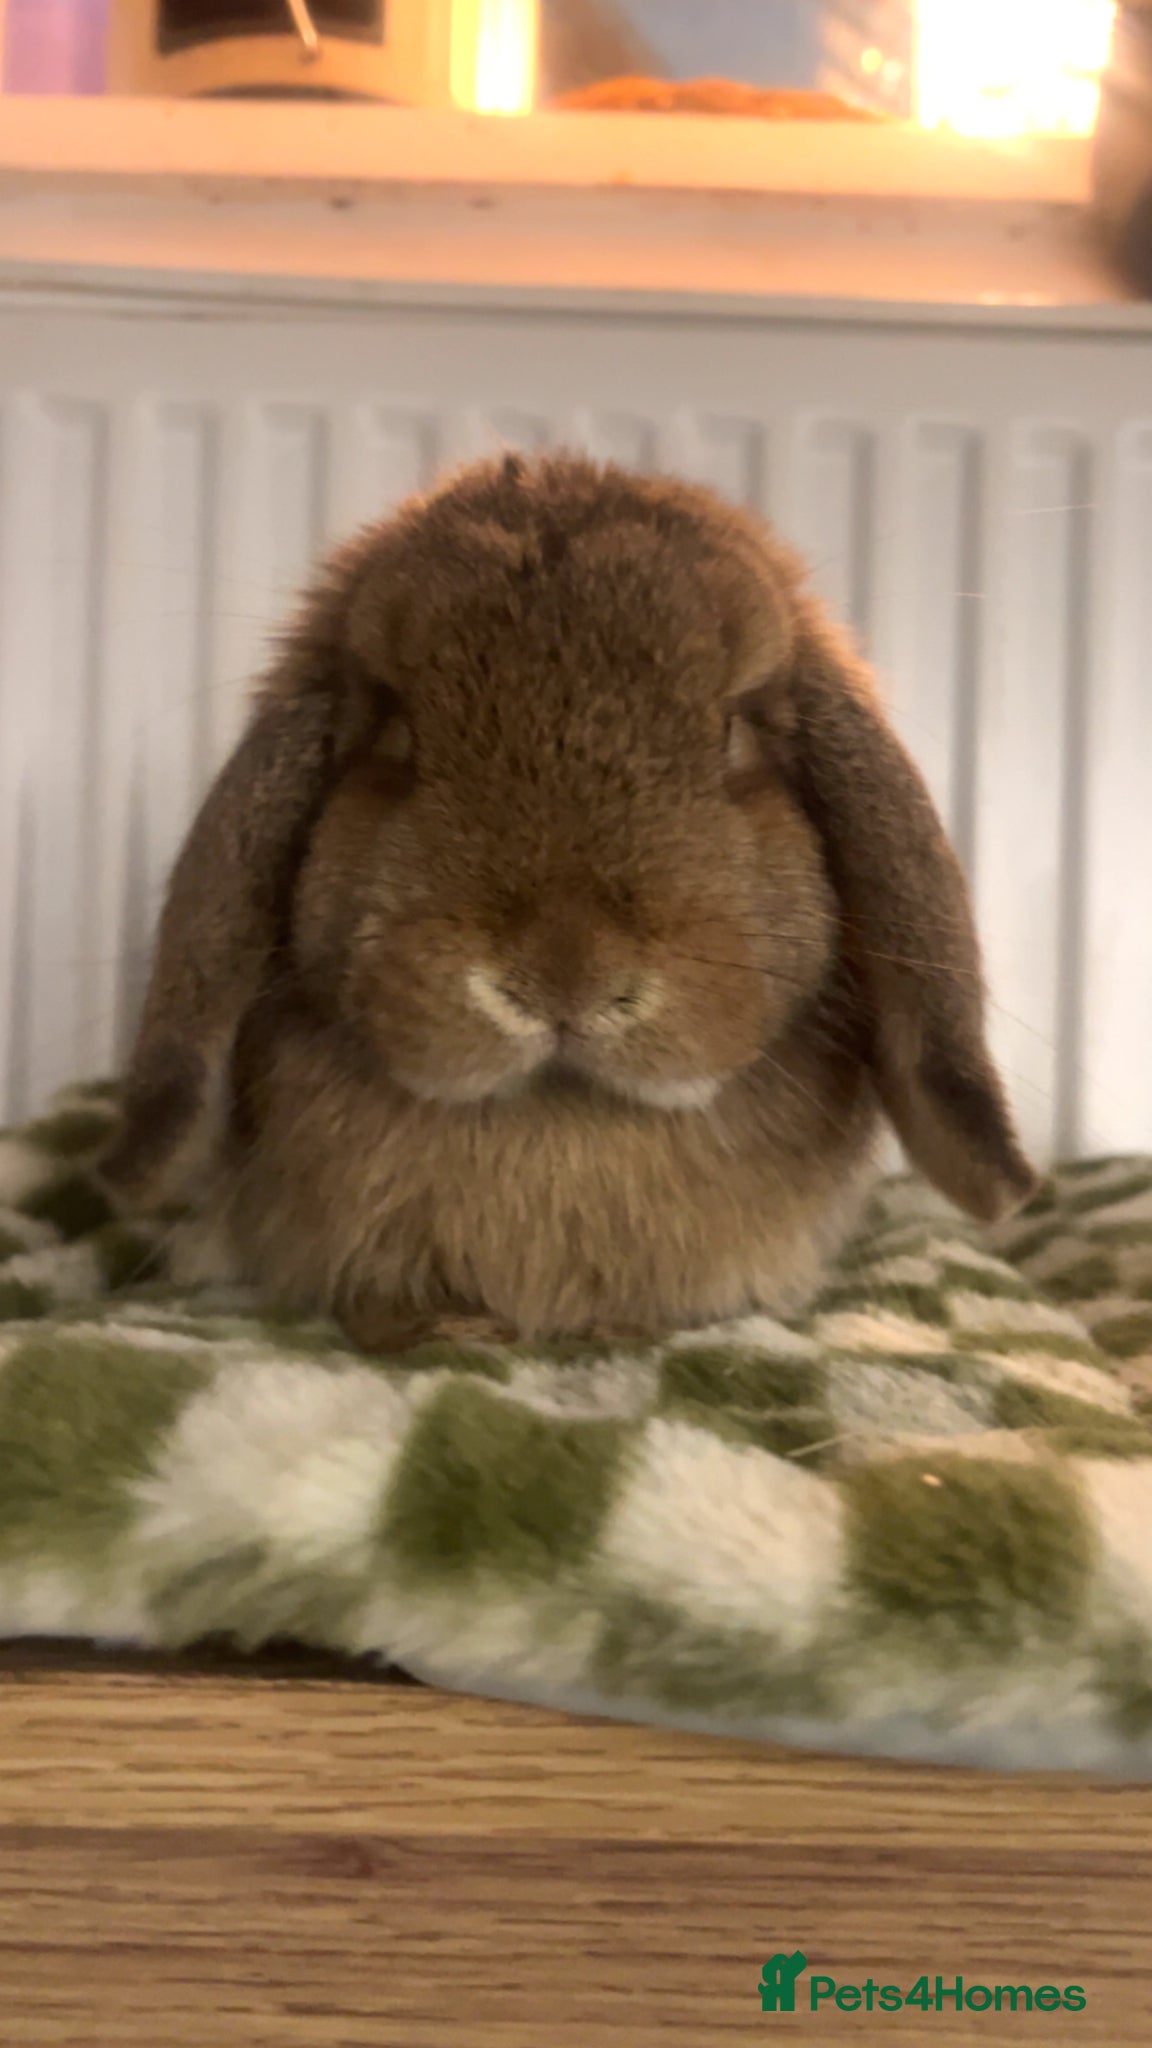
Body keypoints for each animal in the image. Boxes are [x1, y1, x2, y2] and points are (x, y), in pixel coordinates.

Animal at [100, 452, 1036, 1351]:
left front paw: (619, 1328)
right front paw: (429, 1327)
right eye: (396, 729)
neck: (556, 1126)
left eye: (735, 729)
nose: (562, 972)